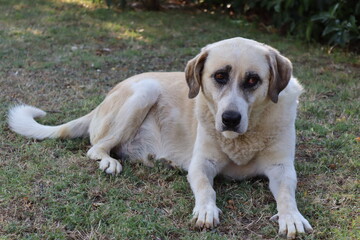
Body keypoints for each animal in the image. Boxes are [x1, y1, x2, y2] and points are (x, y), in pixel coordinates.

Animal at [8, 37, 312, 238]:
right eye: (219, 76)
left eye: (252, 80)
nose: (229, 119)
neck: (243, 138)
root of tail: (103, 100)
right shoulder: (201, 165)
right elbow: (207, 188)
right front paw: (206, 210)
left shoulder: (282, 168)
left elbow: (286, 194)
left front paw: (292, 217)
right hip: (145, 90)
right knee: (96, 148)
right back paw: (109, 161)